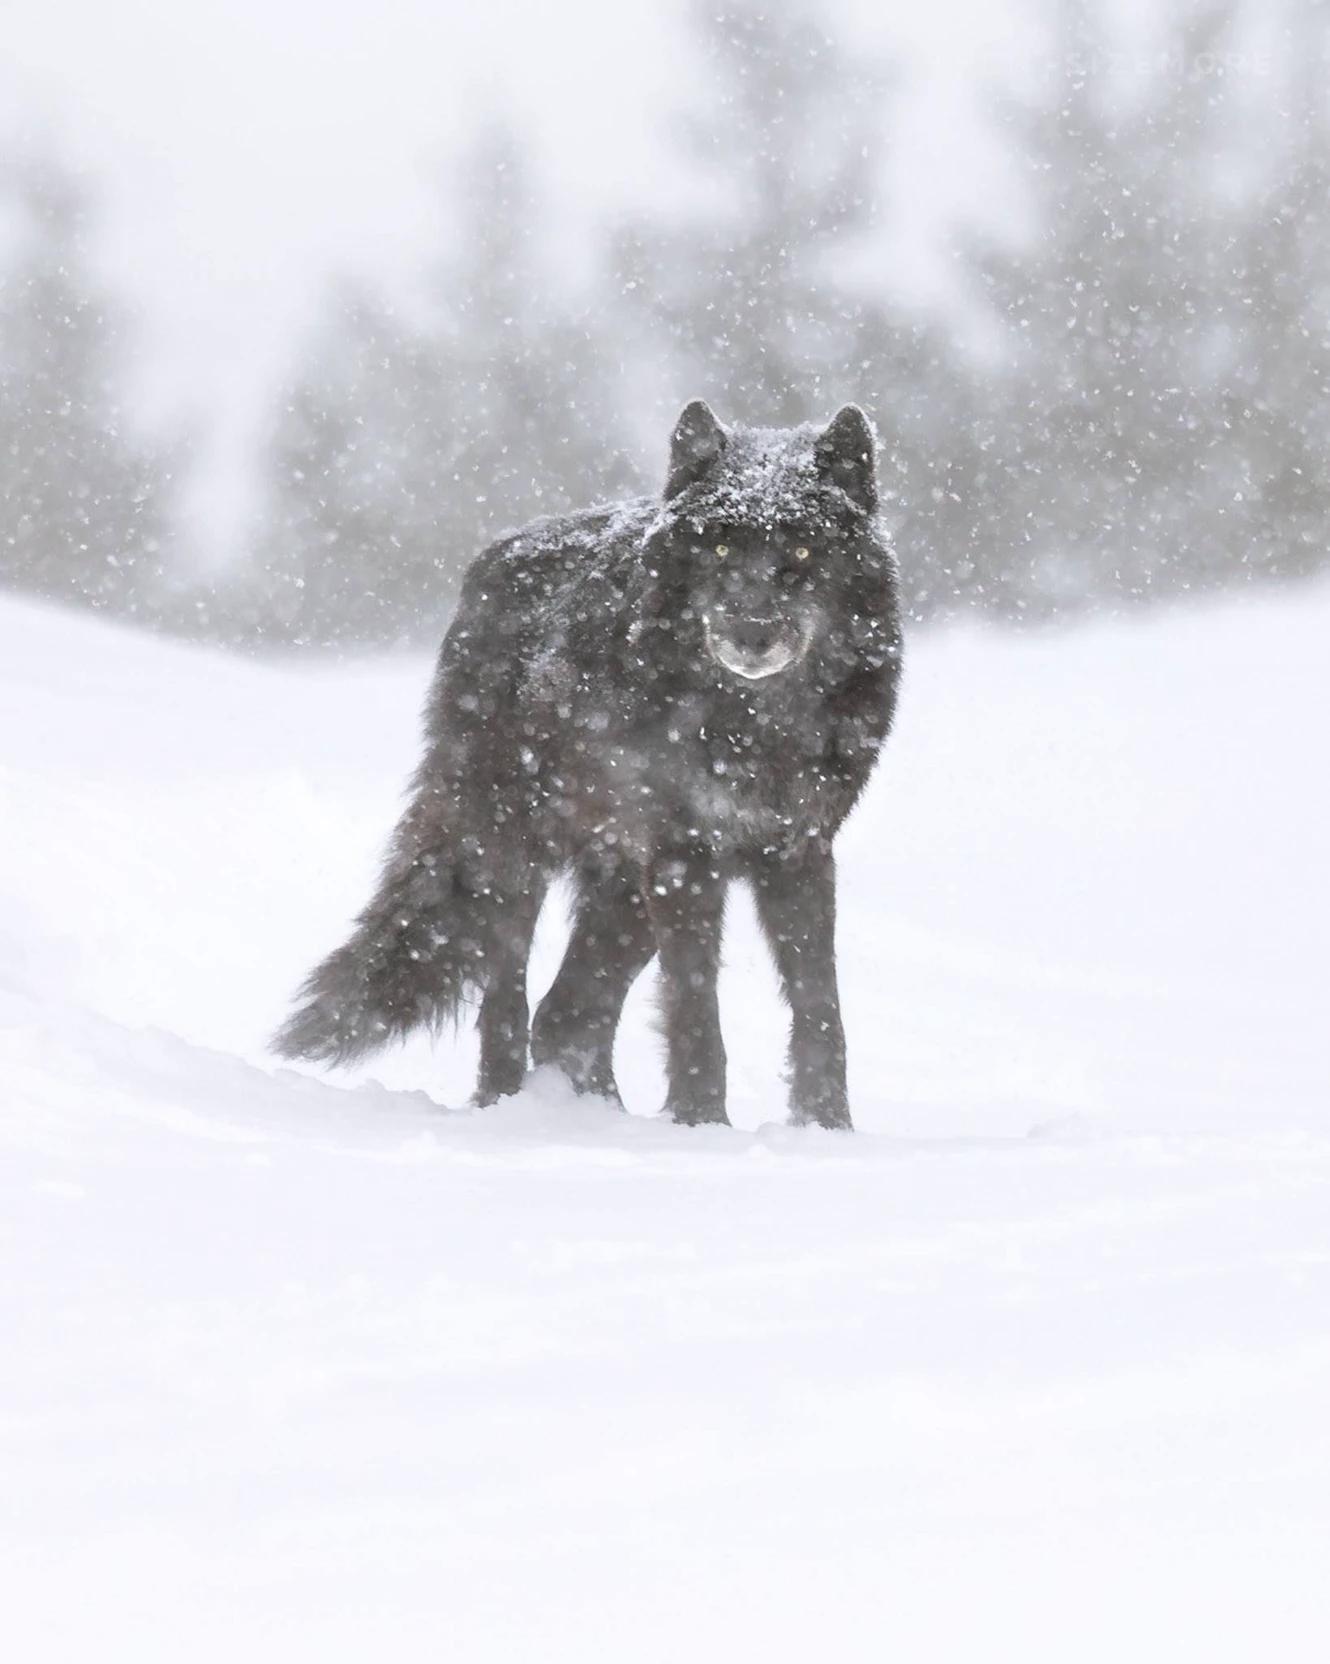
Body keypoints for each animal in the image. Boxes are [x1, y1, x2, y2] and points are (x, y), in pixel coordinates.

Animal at [274, 401, 903, 1129]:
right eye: (719, 547)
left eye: (802, 550)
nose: (752, 634)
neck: (753, 725)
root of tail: (491, 560)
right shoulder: (685, 856)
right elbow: (696, 1007)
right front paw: (701, 1124)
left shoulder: (800, 851)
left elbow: (819, 1007)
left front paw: (828, 1130)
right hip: (509, 860)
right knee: (510, 1003)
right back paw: (508, 1106)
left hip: (622, 886)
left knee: (568, 1013)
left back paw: (599, 1113)